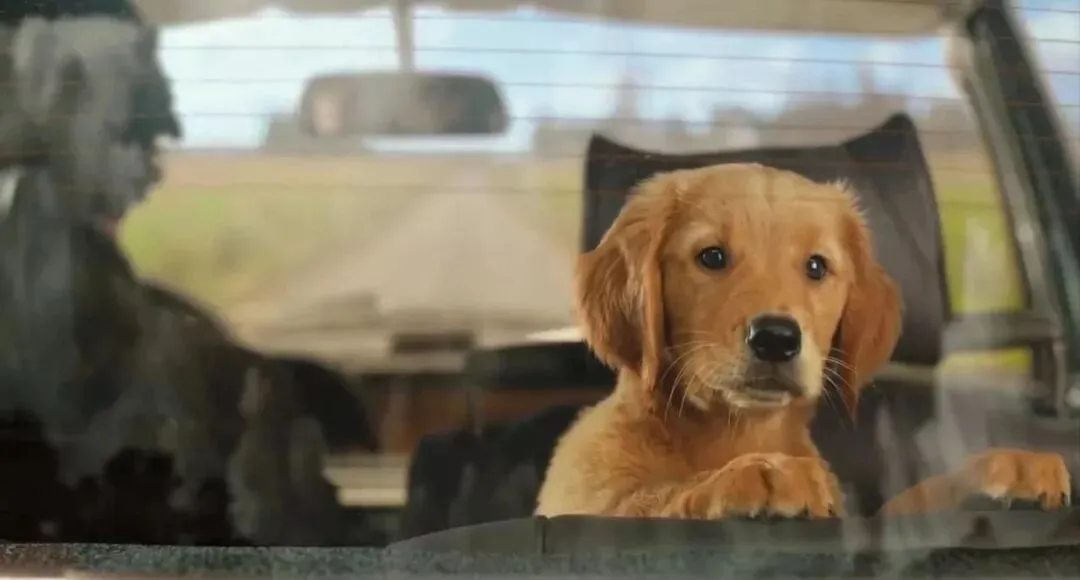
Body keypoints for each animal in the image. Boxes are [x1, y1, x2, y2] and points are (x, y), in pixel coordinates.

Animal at [535, 163, 1071, 519]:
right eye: (712, 256)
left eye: (816, 266)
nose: (776, 338)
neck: (734, 432)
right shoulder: (588, 502)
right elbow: (650, 499)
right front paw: (753, 474)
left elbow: (911, 501)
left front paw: (1005, 467)